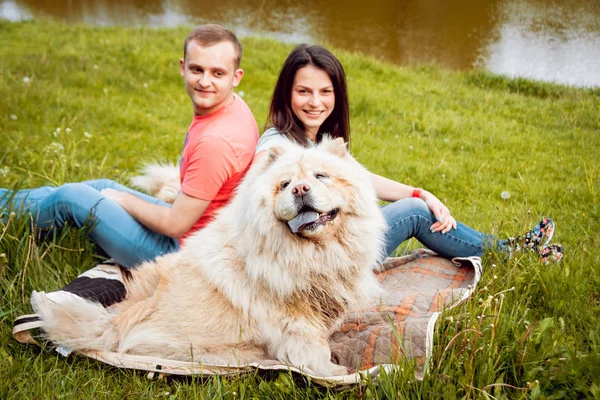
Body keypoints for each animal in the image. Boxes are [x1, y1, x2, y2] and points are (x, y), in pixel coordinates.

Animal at [30, 137, 386, 376]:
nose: (299, 190)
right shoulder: (297, 321)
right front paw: (333, 371)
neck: (311, 252)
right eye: (285, 185)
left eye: (320, 176)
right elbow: (315, 352)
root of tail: (115, 324)